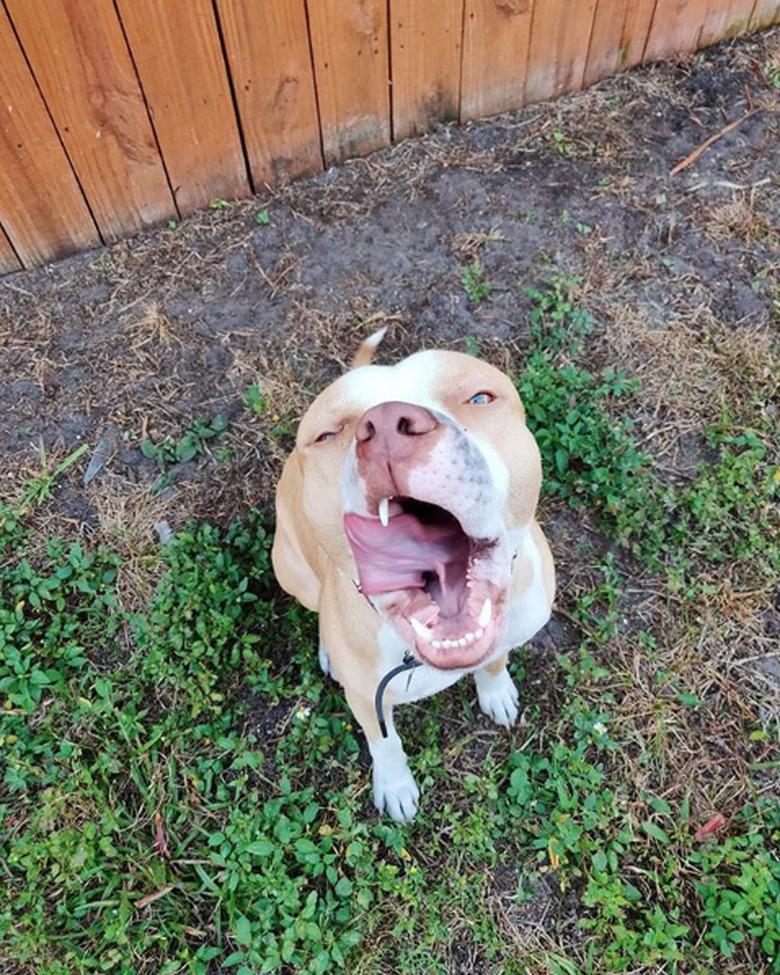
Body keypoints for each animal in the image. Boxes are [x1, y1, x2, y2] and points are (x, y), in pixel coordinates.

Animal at [274, 332, 556, 820]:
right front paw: (395, 785)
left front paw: (496, 691)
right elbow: (384, 744)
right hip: (292, 570)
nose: (386, 426)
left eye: (479, 398)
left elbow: (495, 659)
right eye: (329, 434)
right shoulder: (367, 700)